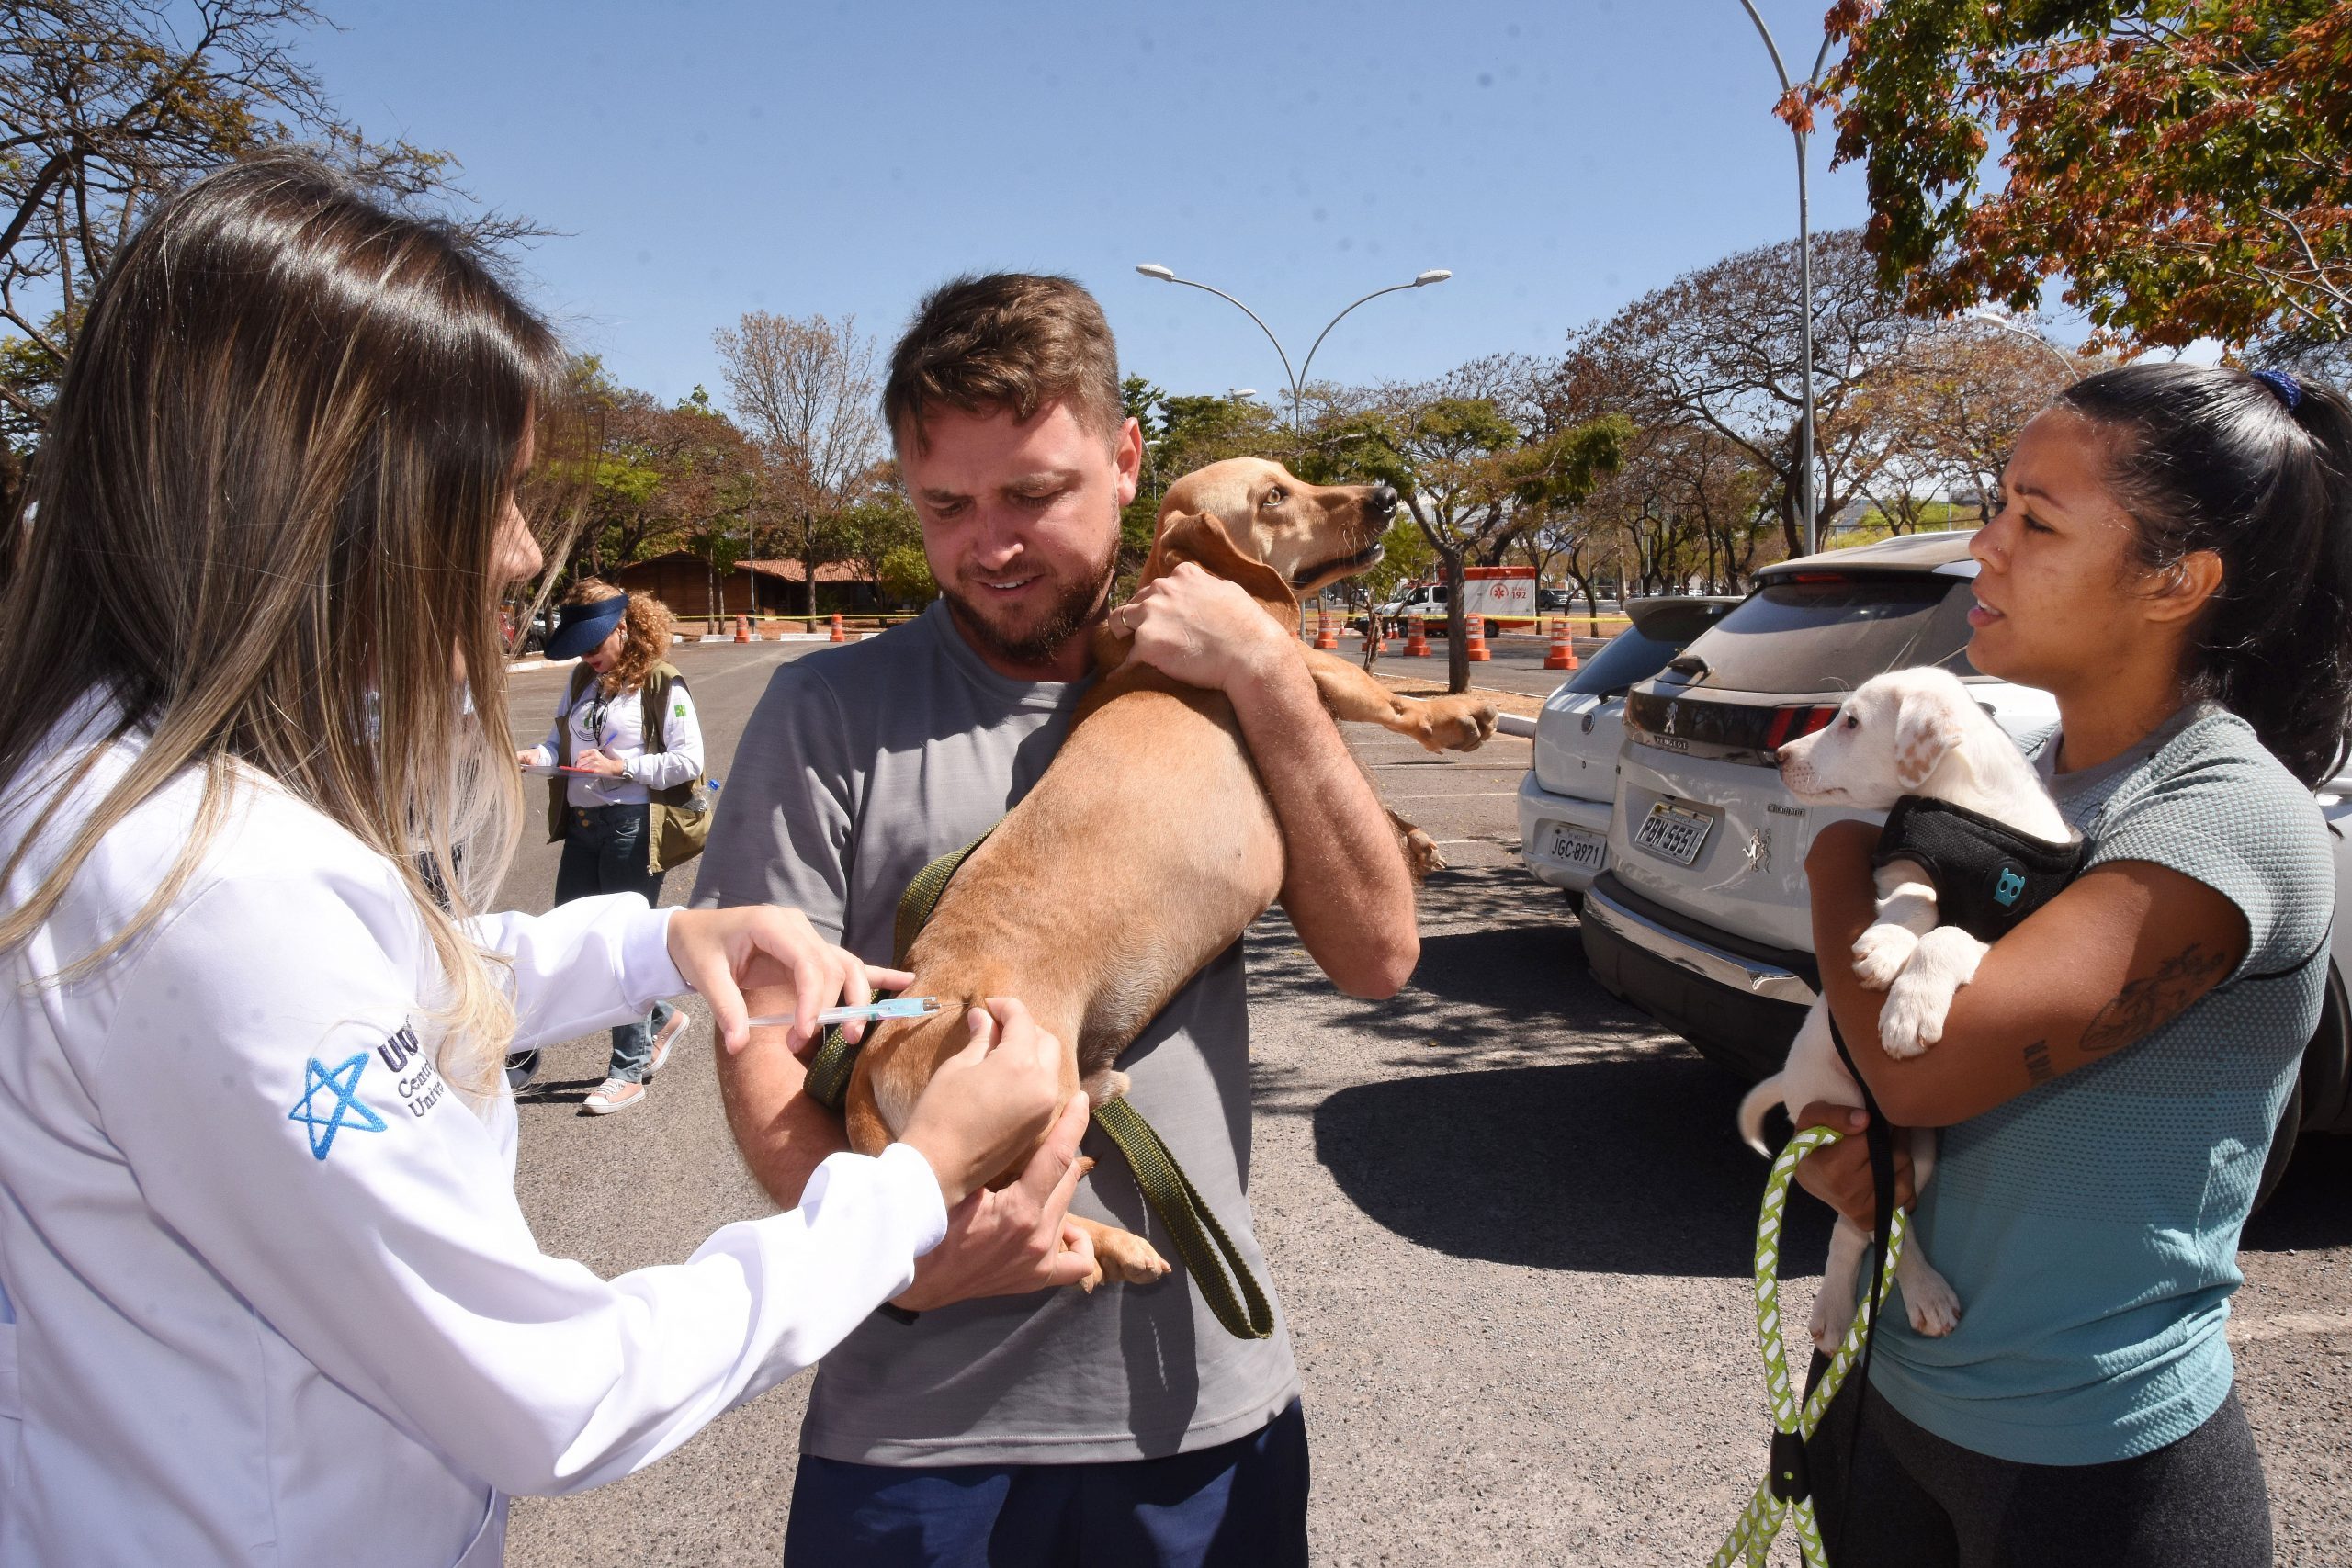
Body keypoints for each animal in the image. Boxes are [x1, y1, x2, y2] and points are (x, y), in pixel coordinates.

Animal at [846, 456, 1496, 1288]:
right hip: (1013, 1112)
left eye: (1291, 475)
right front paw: (1449, 717)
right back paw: (1111, 1247)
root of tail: (879, 1044)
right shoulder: (1285, 651)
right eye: (1274, 496)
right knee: (1013, 1210)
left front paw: (1411, 834)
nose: (1386, 496)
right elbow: (1363, 687)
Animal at [1740, 667, 2069, 1354]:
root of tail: (1793, 1079)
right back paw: (1862, 1303)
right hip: (1849, 1123)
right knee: (1867, 1222)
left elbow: (1950, 934)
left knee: (1876, 1220)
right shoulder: (1897, 869)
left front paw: (1909, 1009)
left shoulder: (2016, 930)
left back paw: (1895, 1298)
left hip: (1916, 1145)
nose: (1777, 756)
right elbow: (1918, 898)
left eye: (1851, 721)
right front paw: (1886, 947)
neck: (1976, 814)